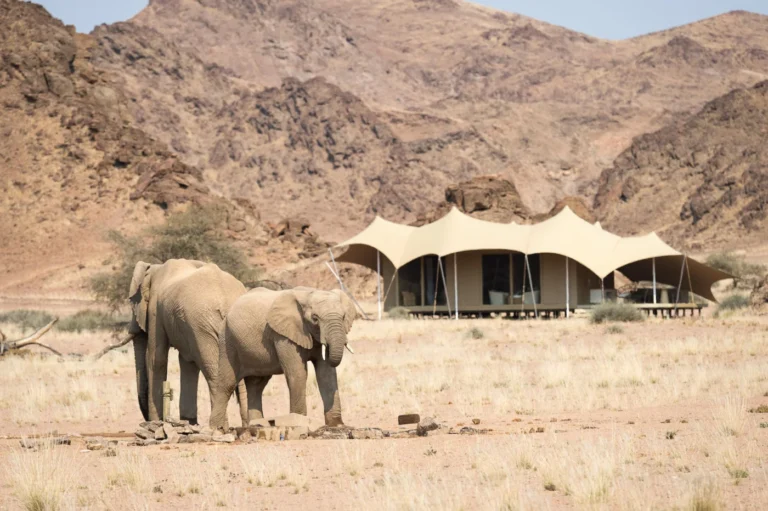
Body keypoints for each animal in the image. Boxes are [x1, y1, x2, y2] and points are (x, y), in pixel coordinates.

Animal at [128, 259, 248, 426]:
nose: (145, 420)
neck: (154, 268)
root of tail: (226, 302)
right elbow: (187, 362)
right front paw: (189, 422)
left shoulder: (155, 310)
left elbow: (155, 359)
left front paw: (156, 423)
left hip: (202, 326)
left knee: (214, 373)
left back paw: (219, 427)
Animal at [209, 287, 357, 431]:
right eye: (315, 318)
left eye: (343, 317)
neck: (307, 293)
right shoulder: (283, 335)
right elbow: (298, 373)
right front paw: (300, 422)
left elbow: (326, 374)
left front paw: (337, 426)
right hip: (227, 339)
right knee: (227, 384)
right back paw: (217, 428)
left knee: (256, 385)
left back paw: (256, 425)